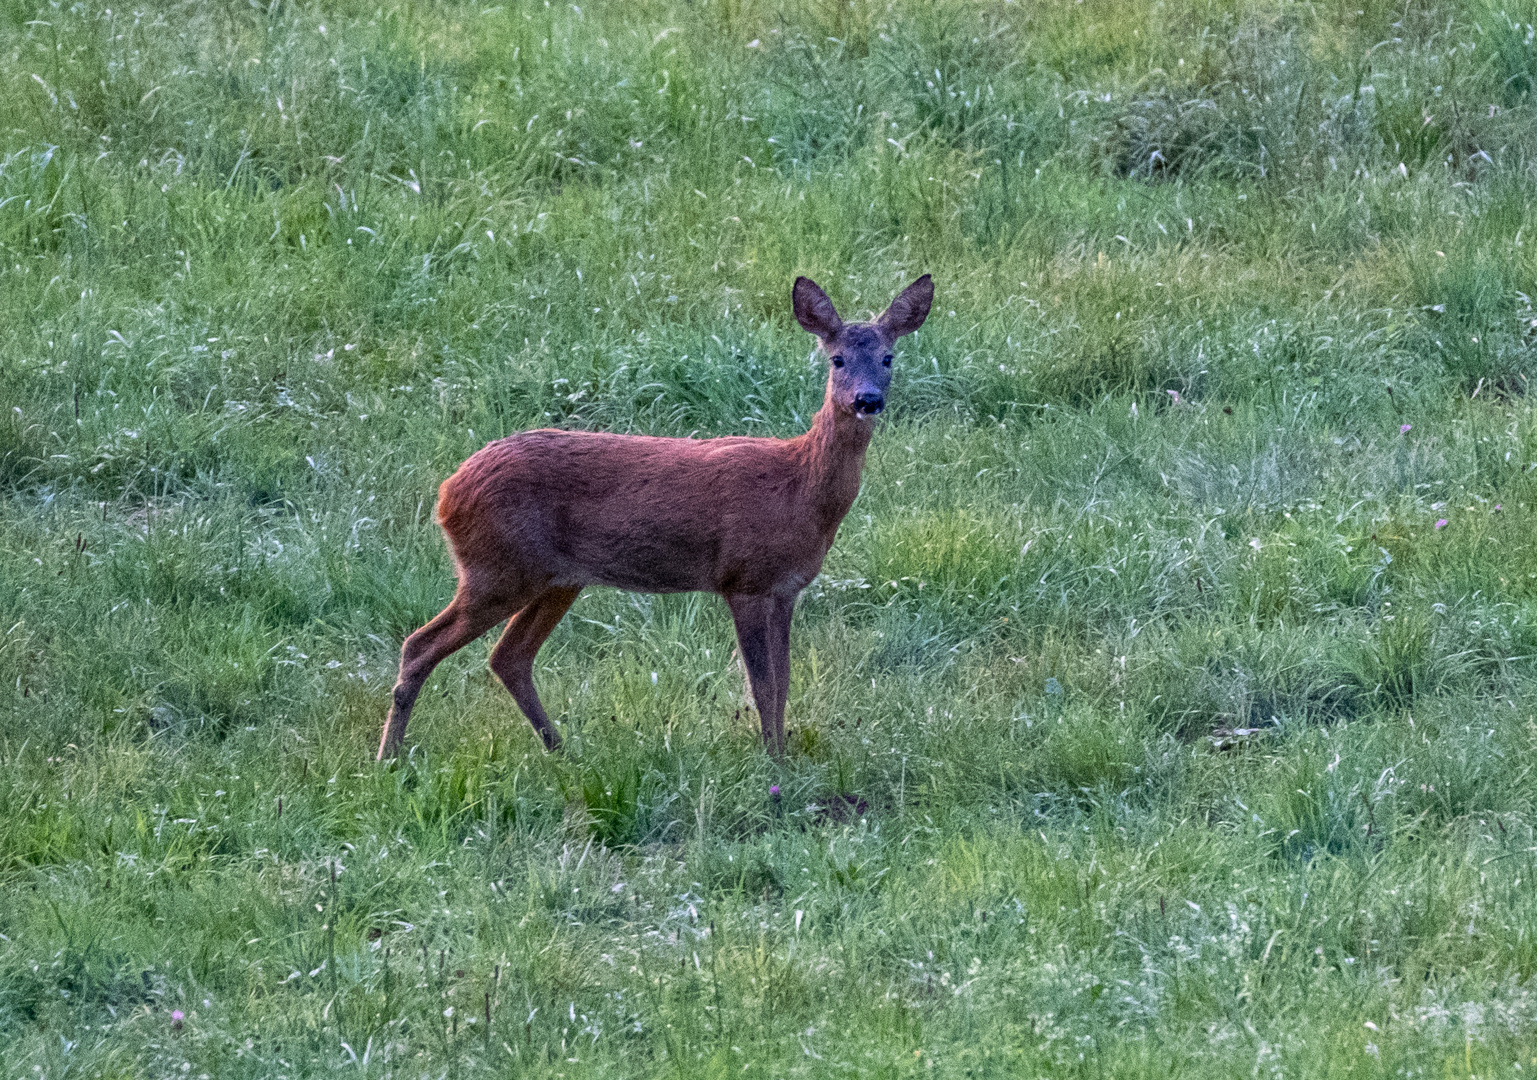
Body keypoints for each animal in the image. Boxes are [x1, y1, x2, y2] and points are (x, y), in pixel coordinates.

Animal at [378, 271, 928, 761]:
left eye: (888, 357)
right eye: (836, 358)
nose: (867, 399)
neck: (799, 488)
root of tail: (447, 494)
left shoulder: (786, 588)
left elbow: (784, 680)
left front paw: (781, 754)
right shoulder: (744, 579)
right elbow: (762, 683)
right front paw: (773, 763)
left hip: (555, 579)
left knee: (508, 656)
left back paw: (561, 751)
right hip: (497, 568)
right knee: (420, 645)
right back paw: (390, 758)